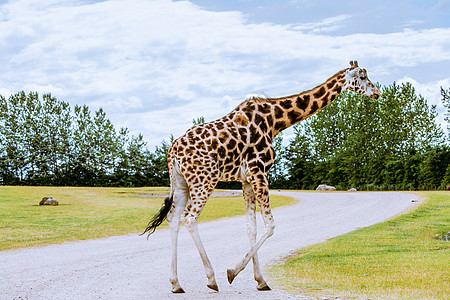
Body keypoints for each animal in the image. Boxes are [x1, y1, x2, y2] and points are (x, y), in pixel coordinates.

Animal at [143, 60, 380, 292]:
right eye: (362, 76)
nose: (377, 92)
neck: (275, 121)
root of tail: (172, 152)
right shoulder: (259, 171)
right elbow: (271, 225)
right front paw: (233, 272)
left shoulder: (246, 179)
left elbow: (252, 228)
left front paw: (260, 280)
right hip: (205, 180)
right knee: (189, 218)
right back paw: (211, 279)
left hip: (181, 182)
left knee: (173, 218)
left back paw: (176, 283)